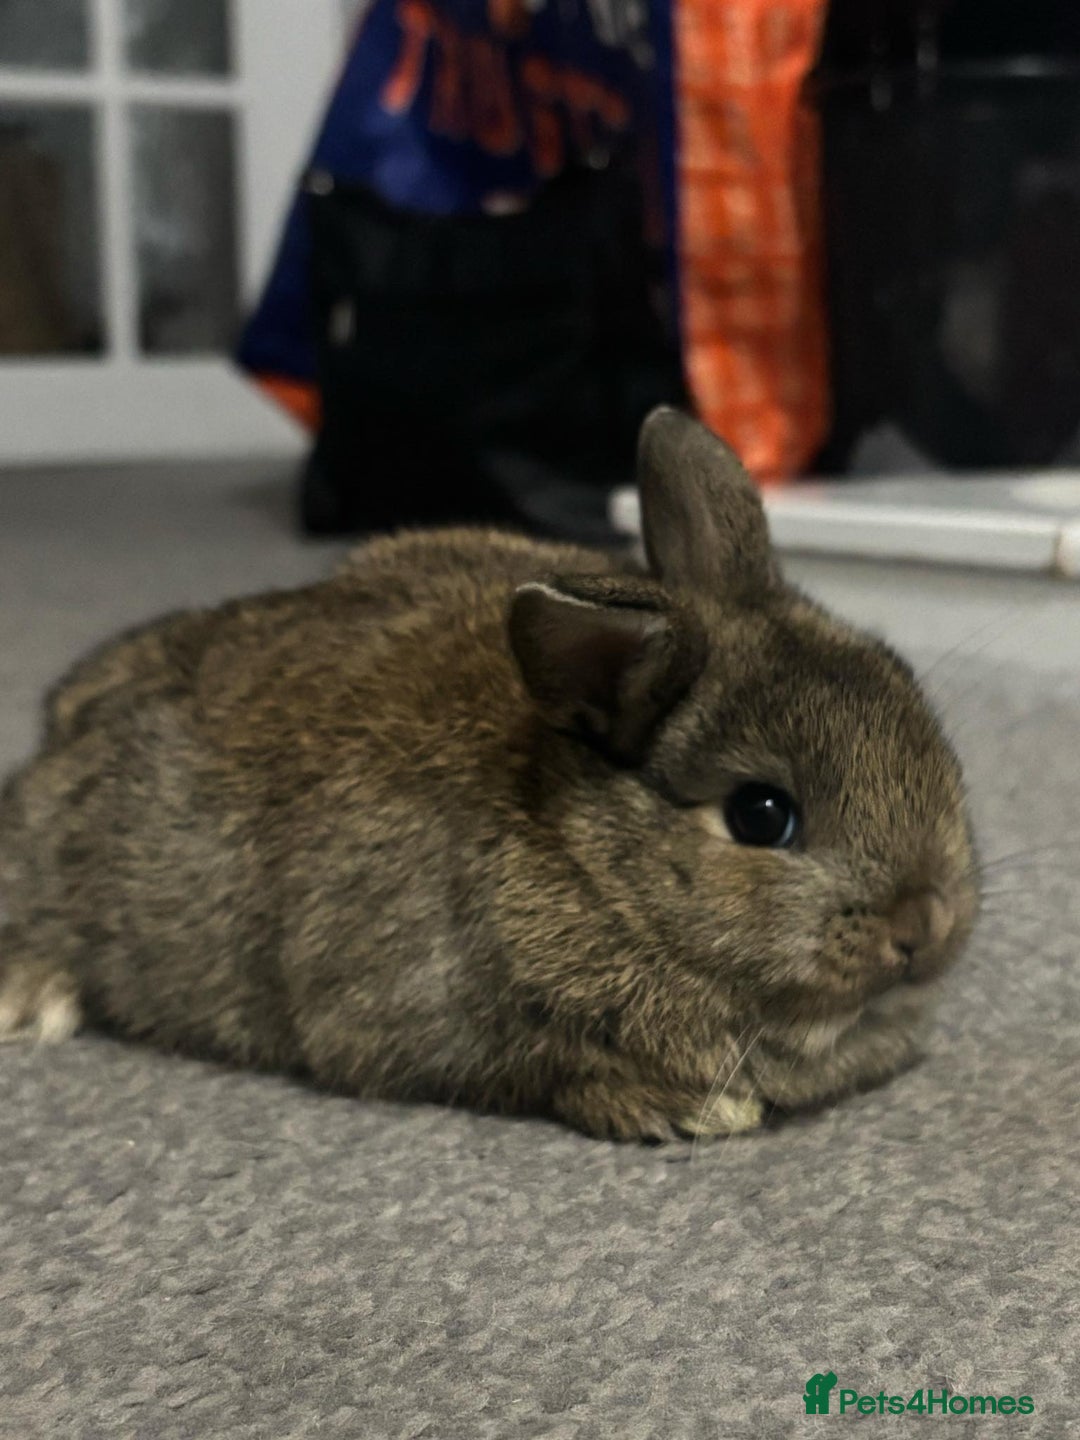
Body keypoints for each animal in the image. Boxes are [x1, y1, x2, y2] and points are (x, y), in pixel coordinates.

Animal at [0, 408, 979, 1141]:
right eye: (762, 814)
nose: (924, 923)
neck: (589, 858)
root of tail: (57, 730)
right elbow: (550, 1073)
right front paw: (686, 1111)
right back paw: (34, 1001)